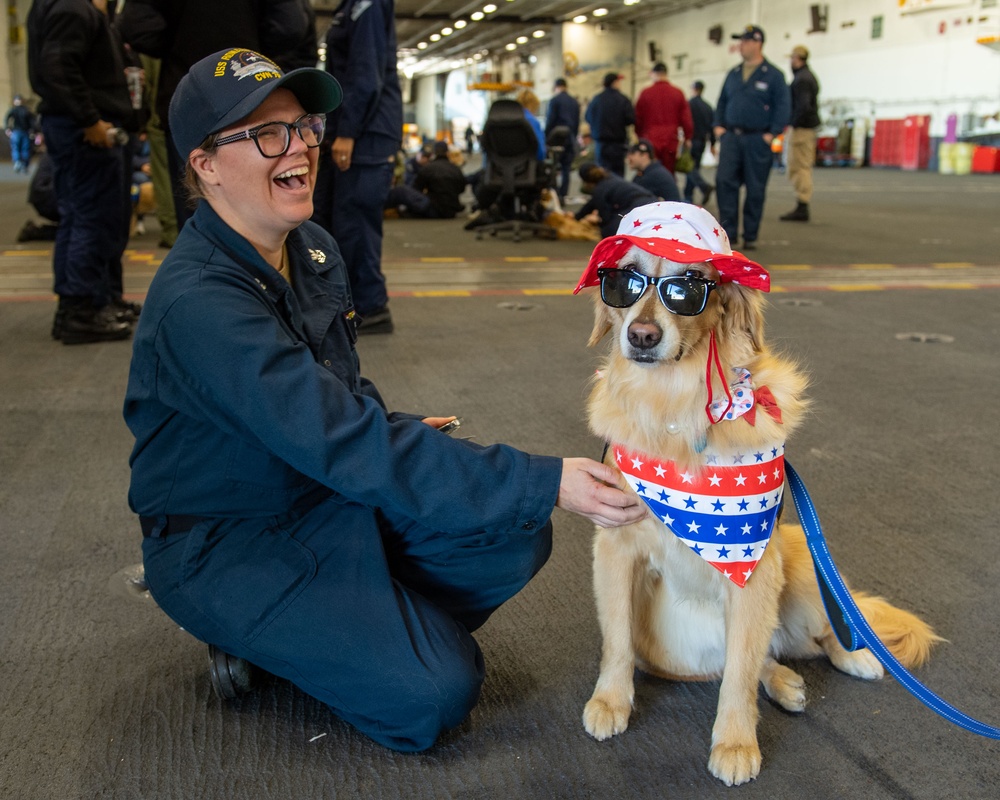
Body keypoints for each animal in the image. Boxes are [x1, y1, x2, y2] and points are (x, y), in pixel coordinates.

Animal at [572, 202, 936, 788]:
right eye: (623, 281)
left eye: (686, 287)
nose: (642, 335)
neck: (675, 411)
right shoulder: (615, 546)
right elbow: (618, 641)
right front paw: (611, 702)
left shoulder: (754, 569)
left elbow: (739, 674)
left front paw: (736, 742)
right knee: (760, 656)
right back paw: (786, 681)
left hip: (801, 564)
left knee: (821, 634)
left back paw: (855, 658)